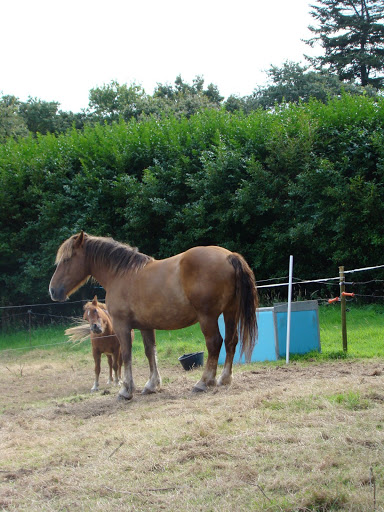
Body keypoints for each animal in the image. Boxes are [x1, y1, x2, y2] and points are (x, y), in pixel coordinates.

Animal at [48, 232, 258, 400]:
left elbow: (126, 355)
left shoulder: (122, 326)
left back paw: (203, 382)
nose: (52, 290)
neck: (121, 275)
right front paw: (152, 385)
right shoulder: (146, 326)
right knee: (231, 341)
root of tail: (229, 256)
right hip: (230, 312)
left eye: (67, 260)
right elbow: (151, 352)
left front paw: (126, 390)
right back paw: (225, 378)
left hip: (208, 317)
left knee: (215, 343)